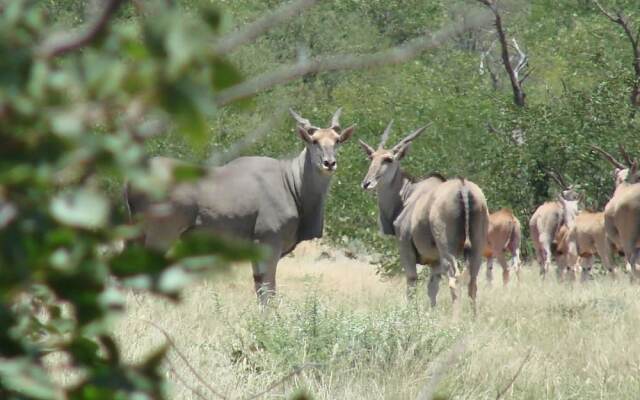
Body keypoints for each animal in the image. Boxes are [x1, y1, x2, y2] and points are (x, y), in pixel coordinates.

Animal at [358, 120, 488, 310]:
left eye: (388, 159)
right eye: (371, 157)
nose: (366, 183)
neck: (408, 194)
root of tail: (463, 187)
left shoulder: (405, 247)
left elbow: (412, 282)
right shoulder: (434, 261)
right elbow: (432, 288)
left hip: (447, 249)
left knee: (455, 279)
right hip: (477, 248)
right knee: (472, 282)